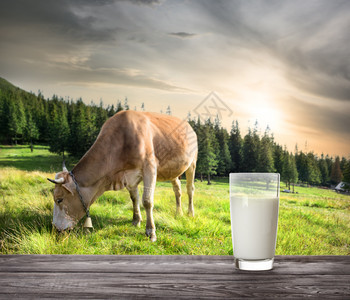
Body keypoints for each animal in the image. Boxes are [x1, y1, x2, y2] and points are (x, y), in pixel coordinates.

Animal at [47, 110, 198, 241]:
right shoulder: (129, 176)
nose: (55, 228)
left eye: (59, 199)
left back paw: (190, 213)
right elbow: (134, 198)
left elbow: (147, 201)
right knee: (177, 190)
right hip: (173, 170)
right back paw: (178, 212)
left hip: (192, 163)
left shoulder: (150, 167)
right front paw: (136, 220)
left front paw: (150, 231)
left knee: (190, 189)